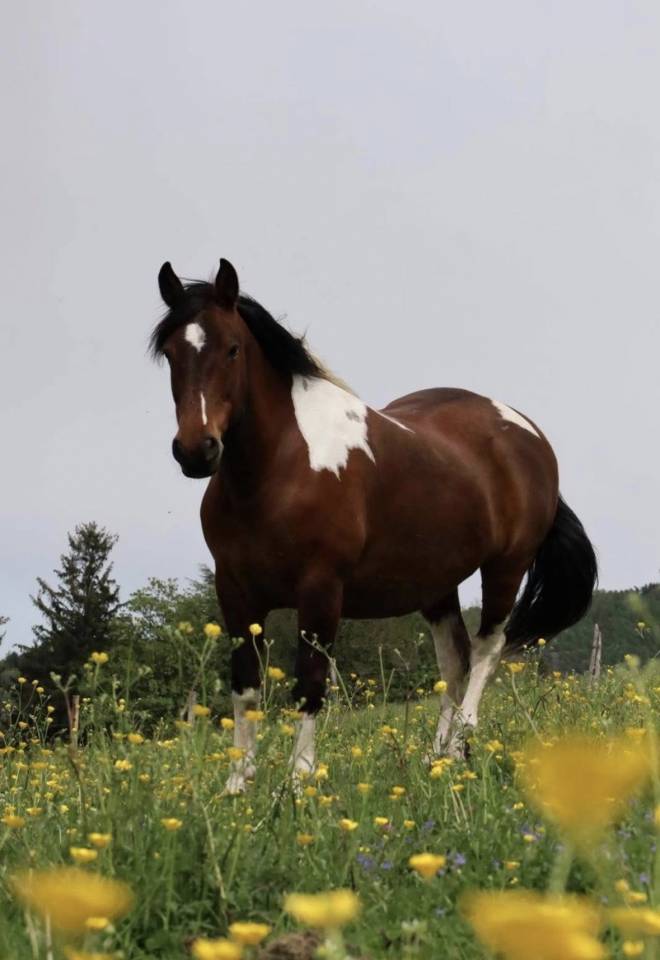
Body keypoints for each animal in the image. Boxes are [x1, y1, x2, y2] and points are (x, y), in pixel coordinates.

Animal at [151, 257, 597, 793]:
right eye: (171, 353)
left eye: (233, 348)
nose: (196, 451)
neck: (279, 468)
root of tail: (528, 434)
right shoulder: (235, 593)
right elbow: (246, 688)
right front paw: (238, 784)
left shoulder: (321, 590)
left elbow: (310, 684)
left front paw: (299, 782)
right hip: (437, 585)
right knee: (454, 662)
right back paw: (438, 757)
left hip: (506, 568)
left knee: (487, 649)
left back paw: (463, 743)